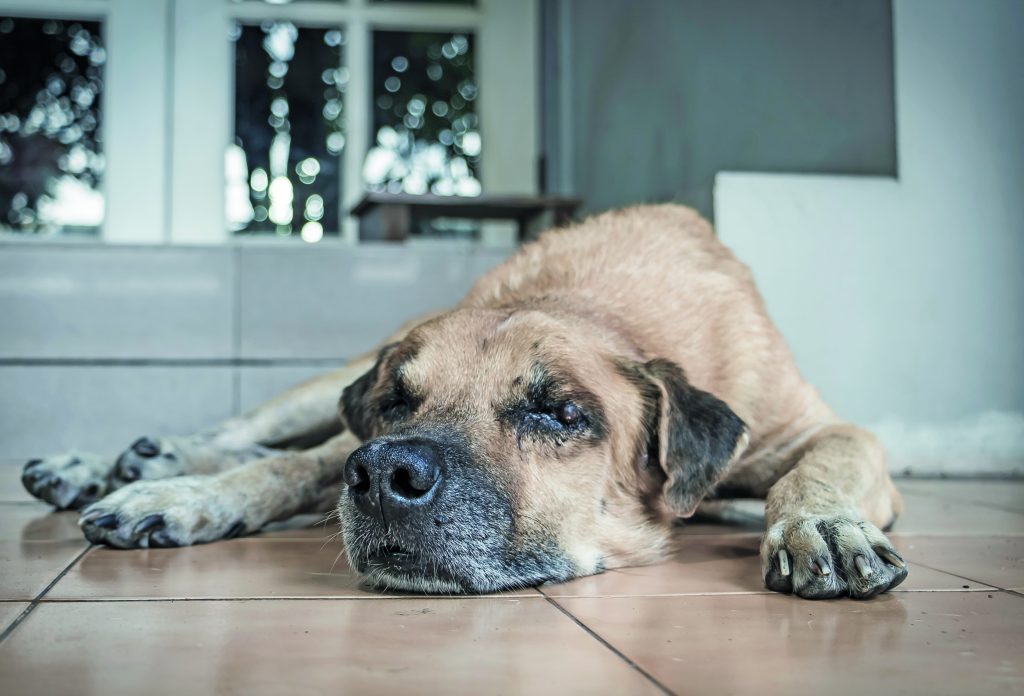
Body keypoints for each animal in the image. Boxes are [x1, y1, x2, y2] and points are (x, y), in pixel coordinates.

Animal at [22, 202, 905, 597]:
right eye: (396, 404)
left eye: (559, 413)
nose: (383, 478)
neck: (597, 307)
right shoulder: (350, 427)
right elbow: (287, 469)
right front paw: (182, 496)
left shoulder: (815, 430)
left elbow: (827, 460)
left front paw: (822, 524)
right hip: (321, 385)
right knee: (253, 432)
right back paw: (129, 463)